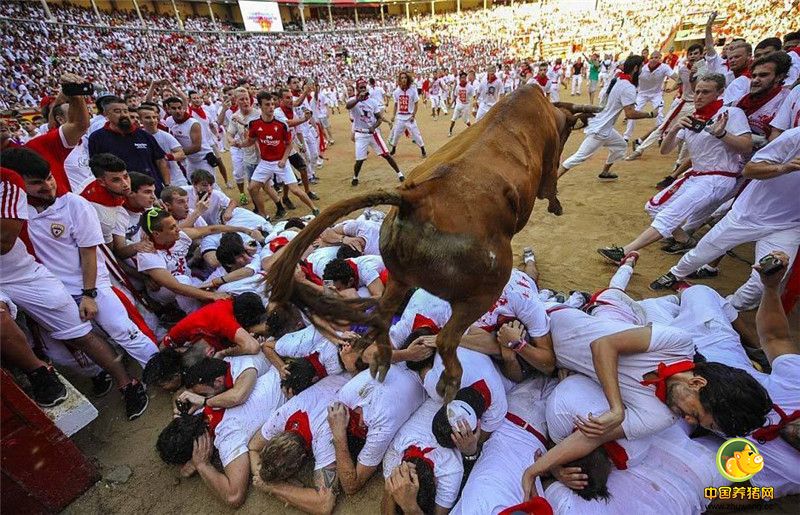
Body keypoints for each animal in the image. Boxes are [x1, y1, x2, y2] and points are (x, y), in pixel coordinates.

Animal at [268, 84, 592, 402]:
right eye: (566, 130)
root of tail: (414, 199)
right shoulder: (548, 166)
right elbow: (550, 185)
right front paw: (556, 205)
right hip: (483, 292)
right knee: (446, 339)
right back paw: (449, 382)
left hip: (399, 277)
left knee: (382, 316)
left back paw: (378, 357)